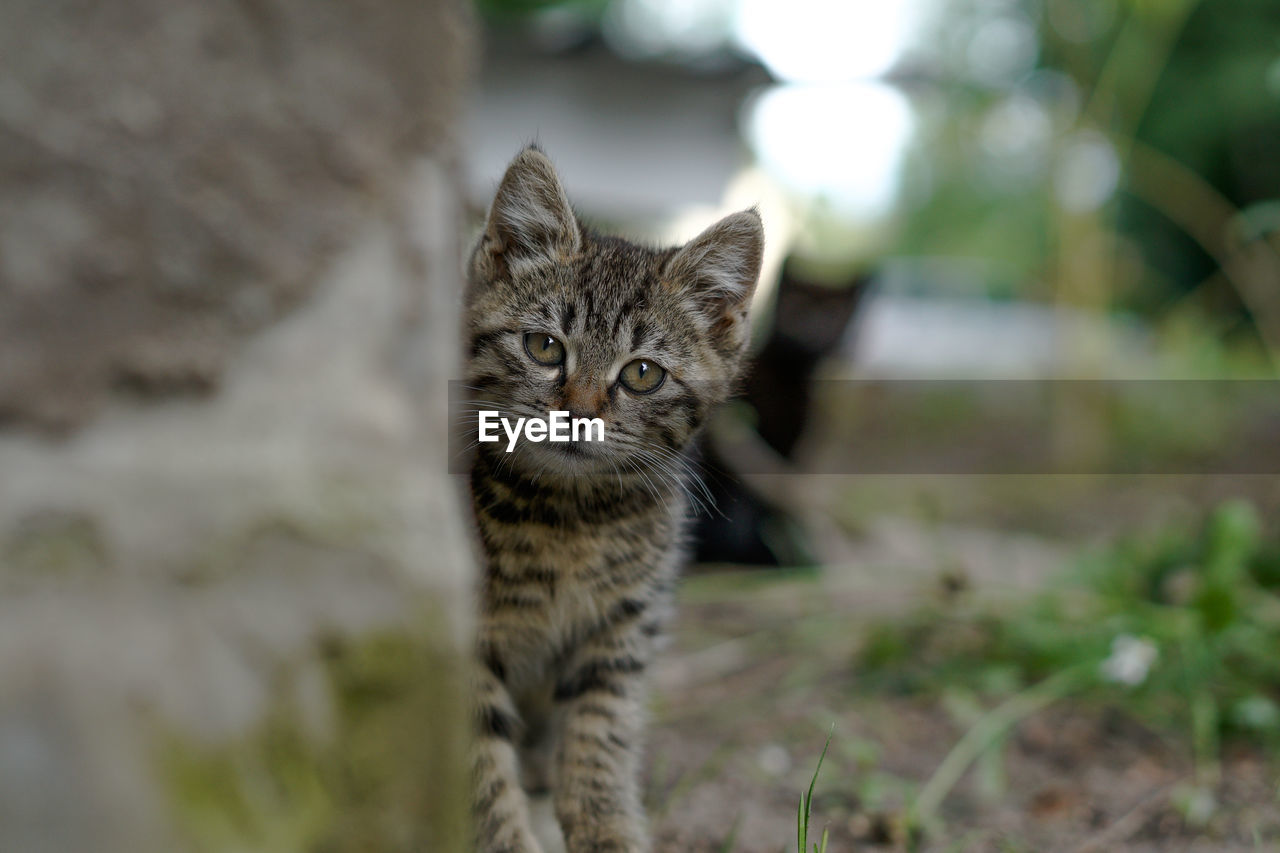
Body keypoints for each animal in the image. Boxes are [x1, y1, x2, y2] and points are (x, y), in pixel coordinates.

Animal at [463, 147, 752, 850]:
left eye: (641, 373)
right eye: (544, 346)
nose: (580, 415)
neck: (569, 515)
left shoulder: (623, 625)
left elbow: (602, 732)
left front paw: (606, 827)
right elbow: (480, 763)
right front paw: (505, 839)